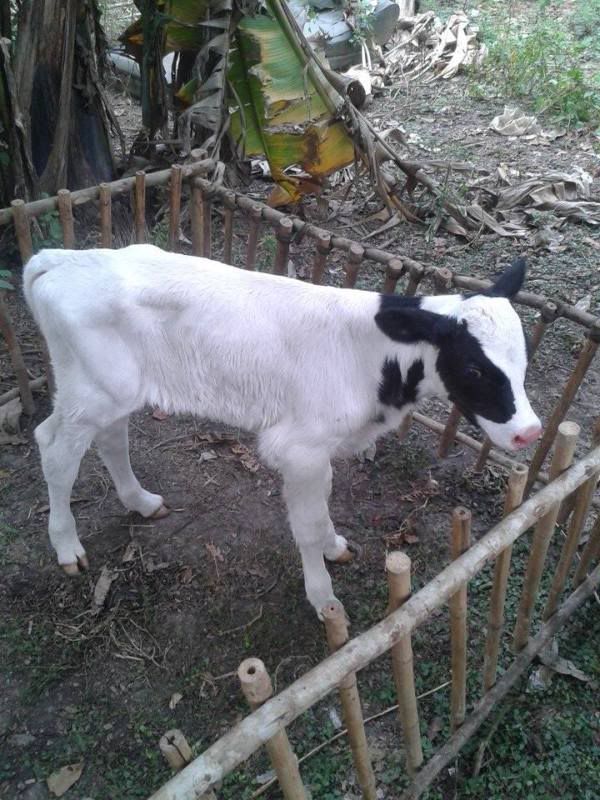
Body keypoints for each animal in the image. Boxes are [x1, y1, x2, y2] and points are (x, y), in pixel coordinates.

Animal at [23, 245, 541, 614]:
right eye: (473, 368)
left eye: (523, 359)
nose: (530, 433)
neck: (371, 356)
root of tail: (63, 259)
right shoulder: (300, 448)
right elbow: (306, 527)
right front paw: (323, 596)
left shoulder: (319, 450)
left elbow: (323, 507)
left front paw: (335, 546)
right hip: (91, 391)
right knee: (55, 449)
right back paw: (67, 546)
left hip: (116, 390)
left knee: (111, 438)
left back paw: (142, 502)